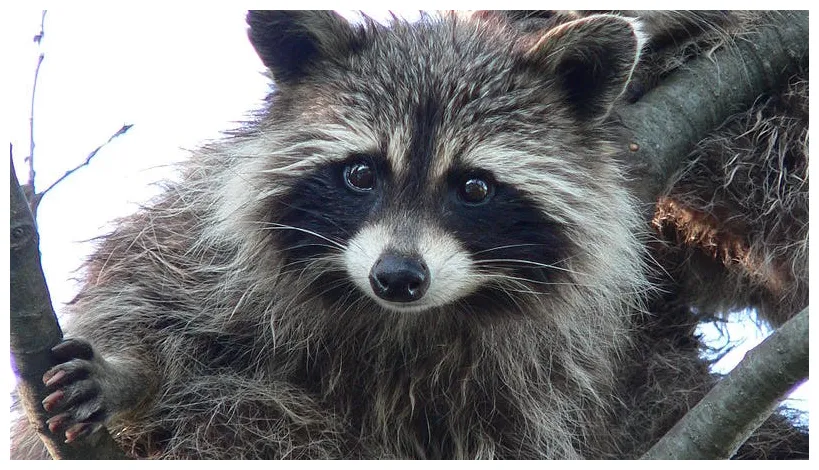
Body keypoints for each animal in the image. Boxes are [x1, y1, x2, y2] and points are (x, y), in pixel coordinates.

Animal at [11, 11, 808, 459]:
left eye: (474, 188)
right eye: (361, 173)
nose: (397, 277)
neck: (396, 319)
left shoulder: (546, 376)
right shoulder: (206, 242)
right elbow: (151, 296)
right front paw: (127, 371)